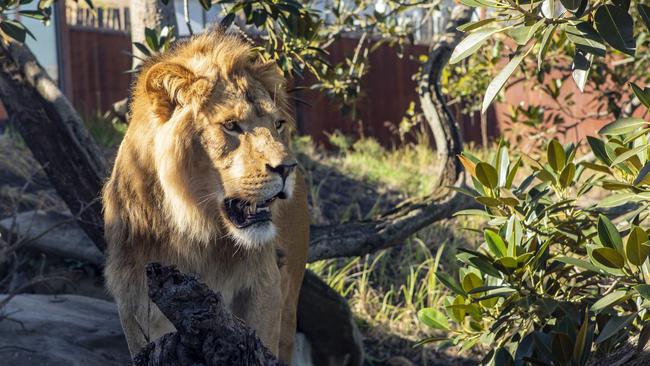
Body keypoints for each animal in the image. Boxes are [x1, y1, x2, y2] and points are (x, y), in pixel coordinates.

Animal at [103, 29, 308, 364]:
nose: (288, 168)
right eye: (231, 125)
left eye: (278, 124)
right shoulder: (134, 297)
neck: (199, 232)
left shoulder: (264, 285)